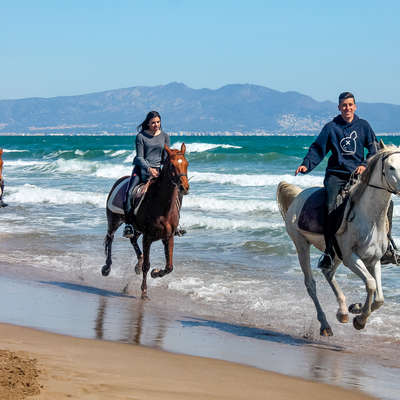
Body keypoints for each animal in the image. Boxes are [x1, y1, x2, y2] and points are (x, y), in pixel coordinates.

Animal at [103, 142, 191, 298]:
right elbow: (147, 265)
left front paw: (155, 273)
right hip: (113, 220)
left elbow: (169, 267)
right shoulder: (148, 237)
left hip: (137, 229)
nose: (184, 187)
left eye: (186, 163)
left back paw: (137, 264)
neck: (162, 205)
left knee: (132, 239)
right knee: (110, 238)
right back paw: (107, 268)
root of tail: (119, 180)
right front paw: (144, 291)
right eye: (172, 165)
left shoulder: (168, 237)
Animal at [276, 142, 400, 336]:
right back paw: (325, 325)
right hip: (302, 245)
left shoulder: (374, 260)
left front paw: (356, 309)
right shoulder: (351, 258)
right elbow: (371, 284)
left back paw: (342, 312)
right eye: (391, 167)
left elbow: (379, 298)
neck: (369, 217)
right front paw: (359, 319)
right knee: (311, 284)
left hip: (335, 254)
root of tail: (299, 196)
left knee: (328, 273)